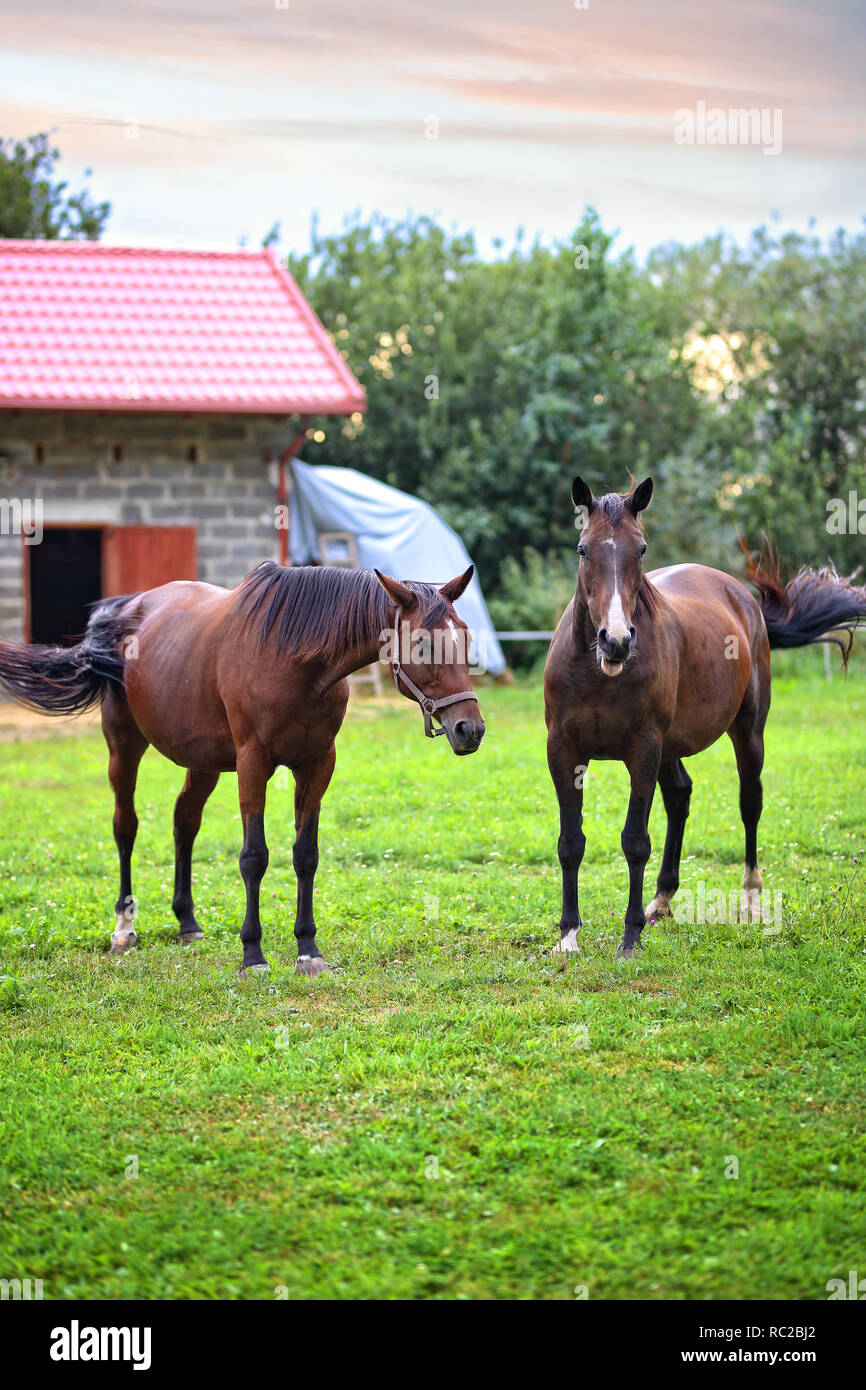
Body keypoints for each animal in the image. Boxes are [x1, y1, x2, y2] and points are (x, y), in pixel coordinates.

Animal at [0, 561, 485, 974]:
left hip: (203, 762)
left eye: (464, 638)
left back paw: (187, 922)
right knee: (126, 826)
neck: (294, 656)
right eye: (422, 643)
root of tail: (126, 609)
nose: (470, 729)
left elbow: (305, 855)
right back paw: (125, 929)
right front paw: (253, 954)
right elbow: (254, 857)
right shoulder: (254, 763)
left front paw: (308, 950)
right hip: (123, 747)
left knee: (184, 822)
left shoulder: (317, 764)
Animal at [544, 476, 866, 959]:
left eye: (640, 549)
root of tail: (741, 597)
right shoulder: (563, 750)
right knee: (680, 797)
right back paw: (662, 899)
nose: (616, 640)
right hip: (670, 747)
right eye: (583, 549)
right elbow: (570, 842)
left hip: (746, 732)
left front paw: (630, 939)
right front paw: (567, 936)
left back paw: (751, 898)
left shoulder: (643, 748)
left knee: (750, 802)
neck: (598, 672)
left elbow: (634, 841)